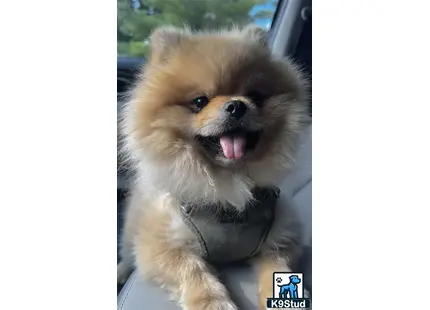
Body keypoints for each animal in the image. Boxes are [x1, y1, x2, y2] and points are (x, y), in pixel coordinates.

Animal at [118, 24, 310, 310]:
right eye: (199, 101)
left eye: (254, 96)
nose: (237, 105)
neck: (227, 184)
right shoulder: (162, 243)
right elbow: (193, 271)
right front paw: (212, 302)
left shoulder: (282, 235)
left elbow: (278, 267)